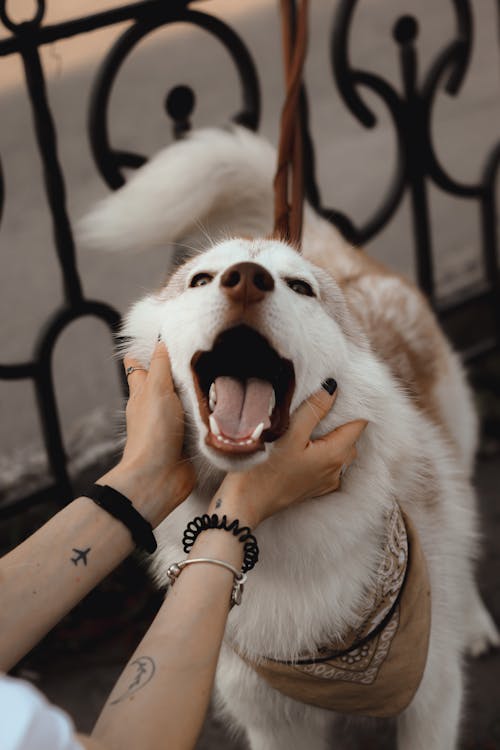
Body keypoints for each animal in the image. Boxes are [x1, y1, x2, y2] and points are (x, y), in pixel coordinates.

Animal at [80, 126, 498, 748]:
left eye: (300, 287)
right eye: (201, 278)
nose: (246, 278)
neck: (283, 538)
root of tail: (335, 252)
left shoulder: (431, 700)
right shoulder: (272, 721)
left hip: (455, 449)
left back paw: (471, 619)